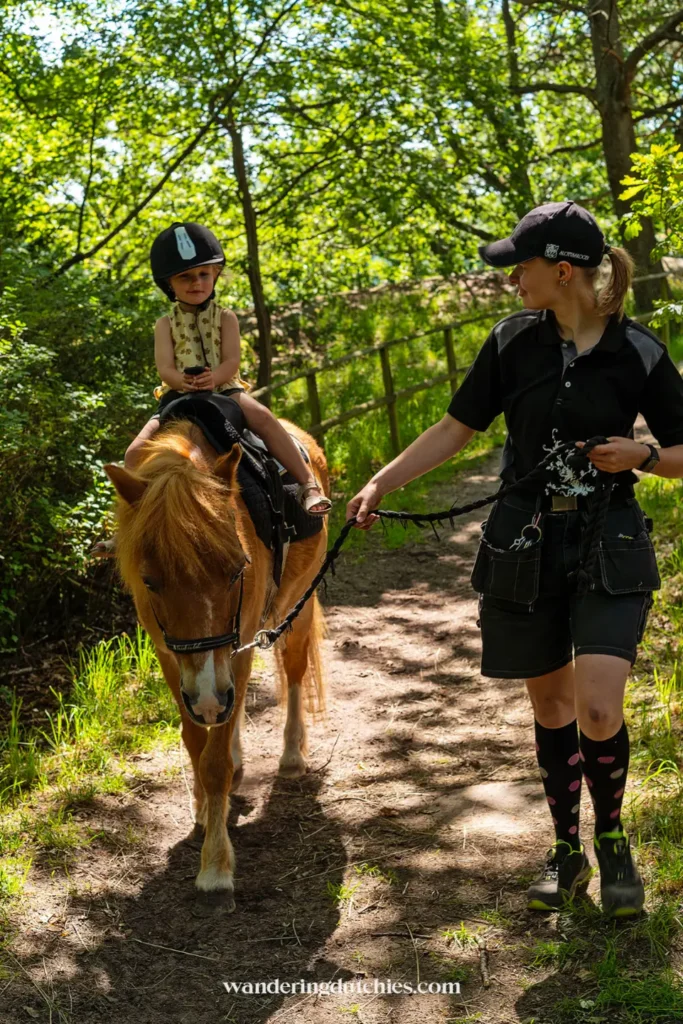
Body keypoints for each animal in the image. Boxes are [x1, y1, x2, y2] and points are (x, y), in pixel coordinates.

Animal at [104, 418, 328, 911]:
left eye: (236, 569)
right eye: (150, 581)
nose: (208, 697)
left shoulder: (238, 646)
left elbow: (214, 762)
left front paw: (214, 866)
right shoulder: (172, 658)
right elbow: (194, 740)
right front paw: (207, 809)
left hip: (296, 609)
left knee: (292, 674)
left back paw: (290, 754)